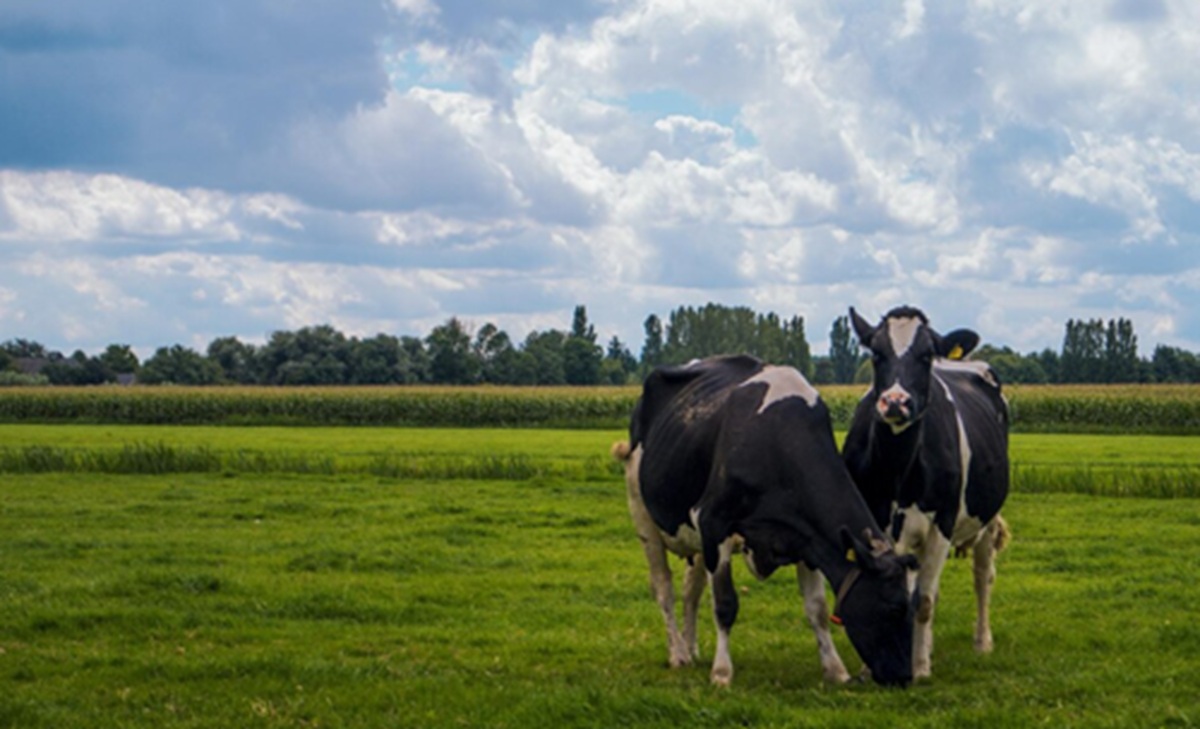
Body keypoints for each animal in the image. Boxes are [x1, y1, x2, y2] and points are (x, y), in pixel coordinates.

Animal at [613, 354, 917, 688]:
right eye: (895, 608)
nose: (905, 676)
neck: (778, 442)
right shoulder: (712, 522)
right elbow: (725, 604)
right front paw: (722, 673)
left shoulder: (807, 538)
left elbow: (817, 608)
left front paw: (835, 669)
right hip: (642, 513)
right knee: (663, 588)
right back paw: (678, 654)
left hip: (693, 539)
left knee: (690, 592)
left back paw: (691, 649)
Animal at [843, 306, 1011, 680]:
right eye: (877, 353)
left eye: (925, 356)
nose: (895, 401)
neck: (897, 469)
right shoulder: (870, 518)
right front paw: (869, 667)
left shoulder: (942, 524)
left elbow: (923, 601)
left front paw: (919, 668)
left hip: (987, 519)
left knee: (982, 577)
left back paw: (982, 641)